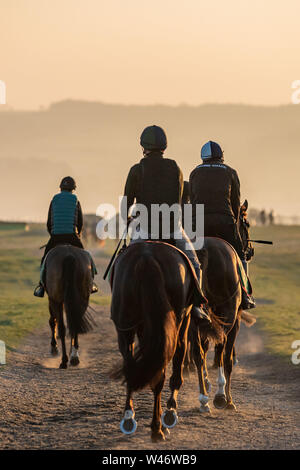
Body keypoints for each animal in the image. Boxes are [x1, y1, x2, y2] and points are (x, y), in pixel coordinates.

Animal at [109, 241, 220, 442]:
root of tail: (147, 258)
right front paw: (169, 412)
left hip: (126, 327)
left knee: (132, 366)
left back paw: (130, 418)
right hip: (177, 323)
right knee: (165, 370)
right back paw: (161, 422)